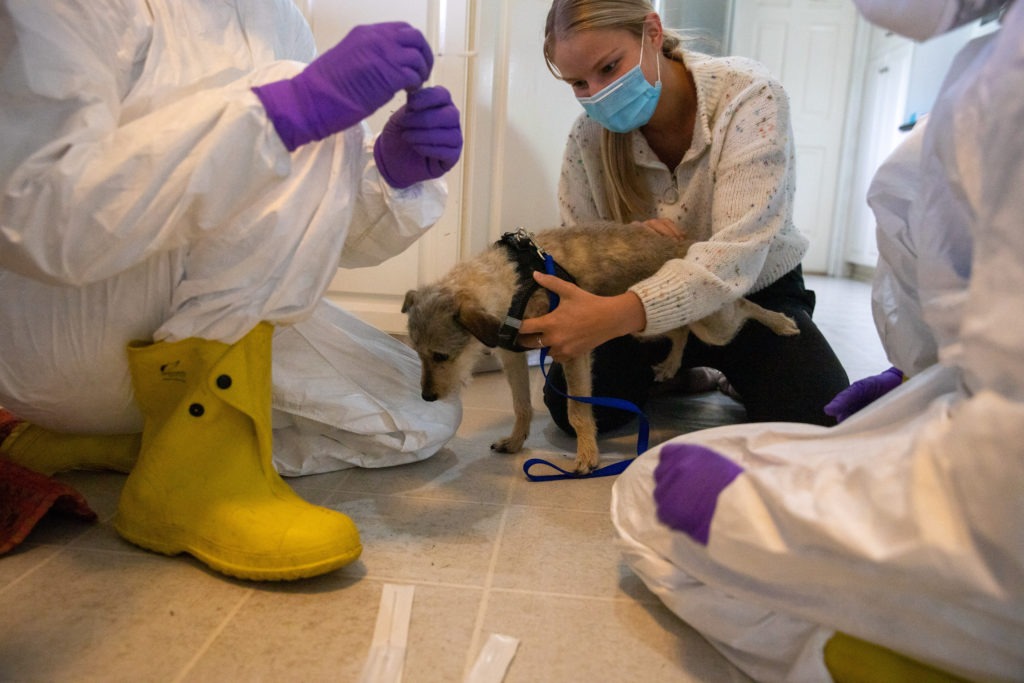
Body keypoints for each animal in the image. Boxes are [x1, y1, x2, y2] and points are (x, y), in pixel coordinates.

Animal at [401, 222, 798, 473]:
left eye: (441, 356)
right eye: (417, 352)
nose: (426, 397)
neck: (513, 281)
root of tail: (686, 246)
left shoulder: (572, 348)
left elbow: (578, 411)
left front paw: (588, 456)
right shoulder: (512, 355)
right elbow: (520, 406)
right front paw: (515, 441)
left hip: (715, 323)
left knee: (743, 305)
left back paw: (781, 322)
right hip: (647, 323)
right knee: (680, 329)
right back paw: (670, 365)